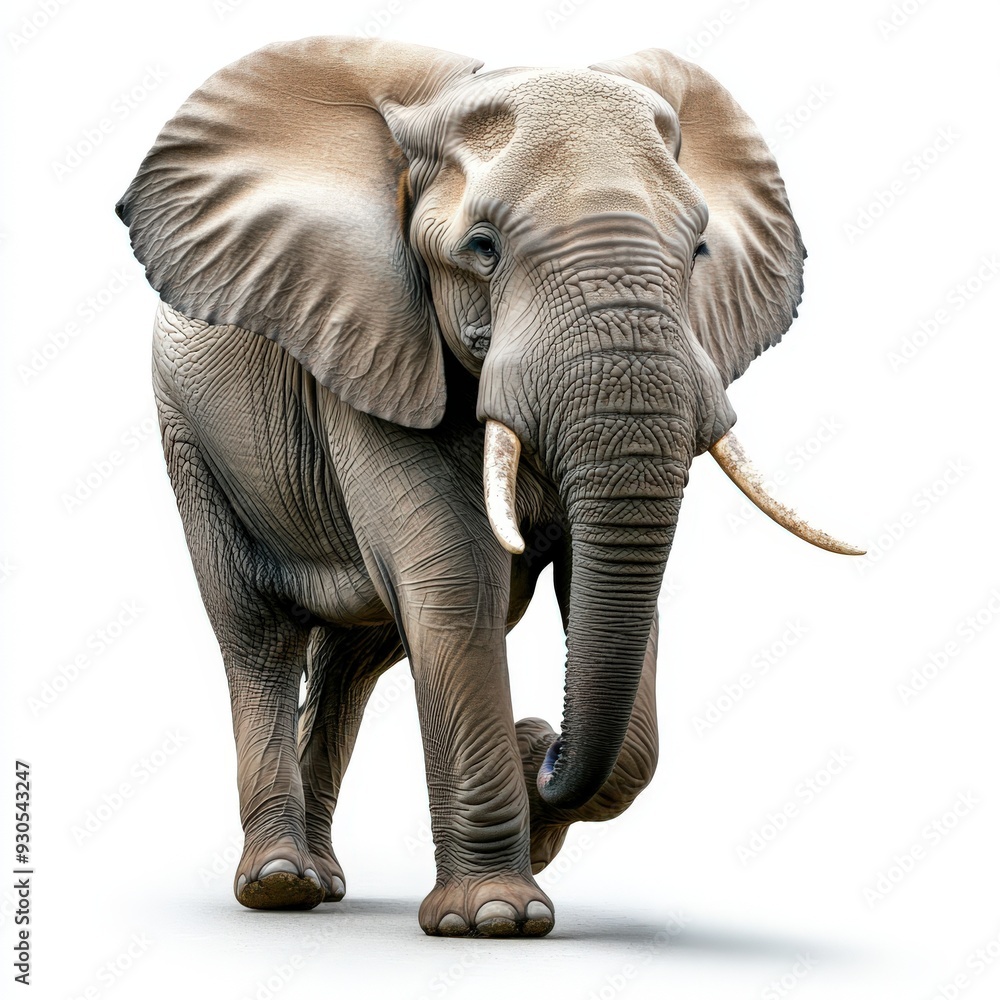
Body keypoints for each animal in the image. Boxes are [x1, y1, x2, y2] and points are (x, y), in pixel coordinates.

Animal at [116, 36, 862, 938]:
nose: (543, 746)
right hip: (189, 433)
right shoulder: (373, 344)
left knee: (354, 660)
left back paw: (322, 882)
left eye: (698, 253)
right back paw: (281, 885)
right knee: (256, 634)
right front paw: (498, 917)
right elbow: (453, 578)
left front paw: (535, 798)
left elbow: (601, 598)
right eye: (483, 248)